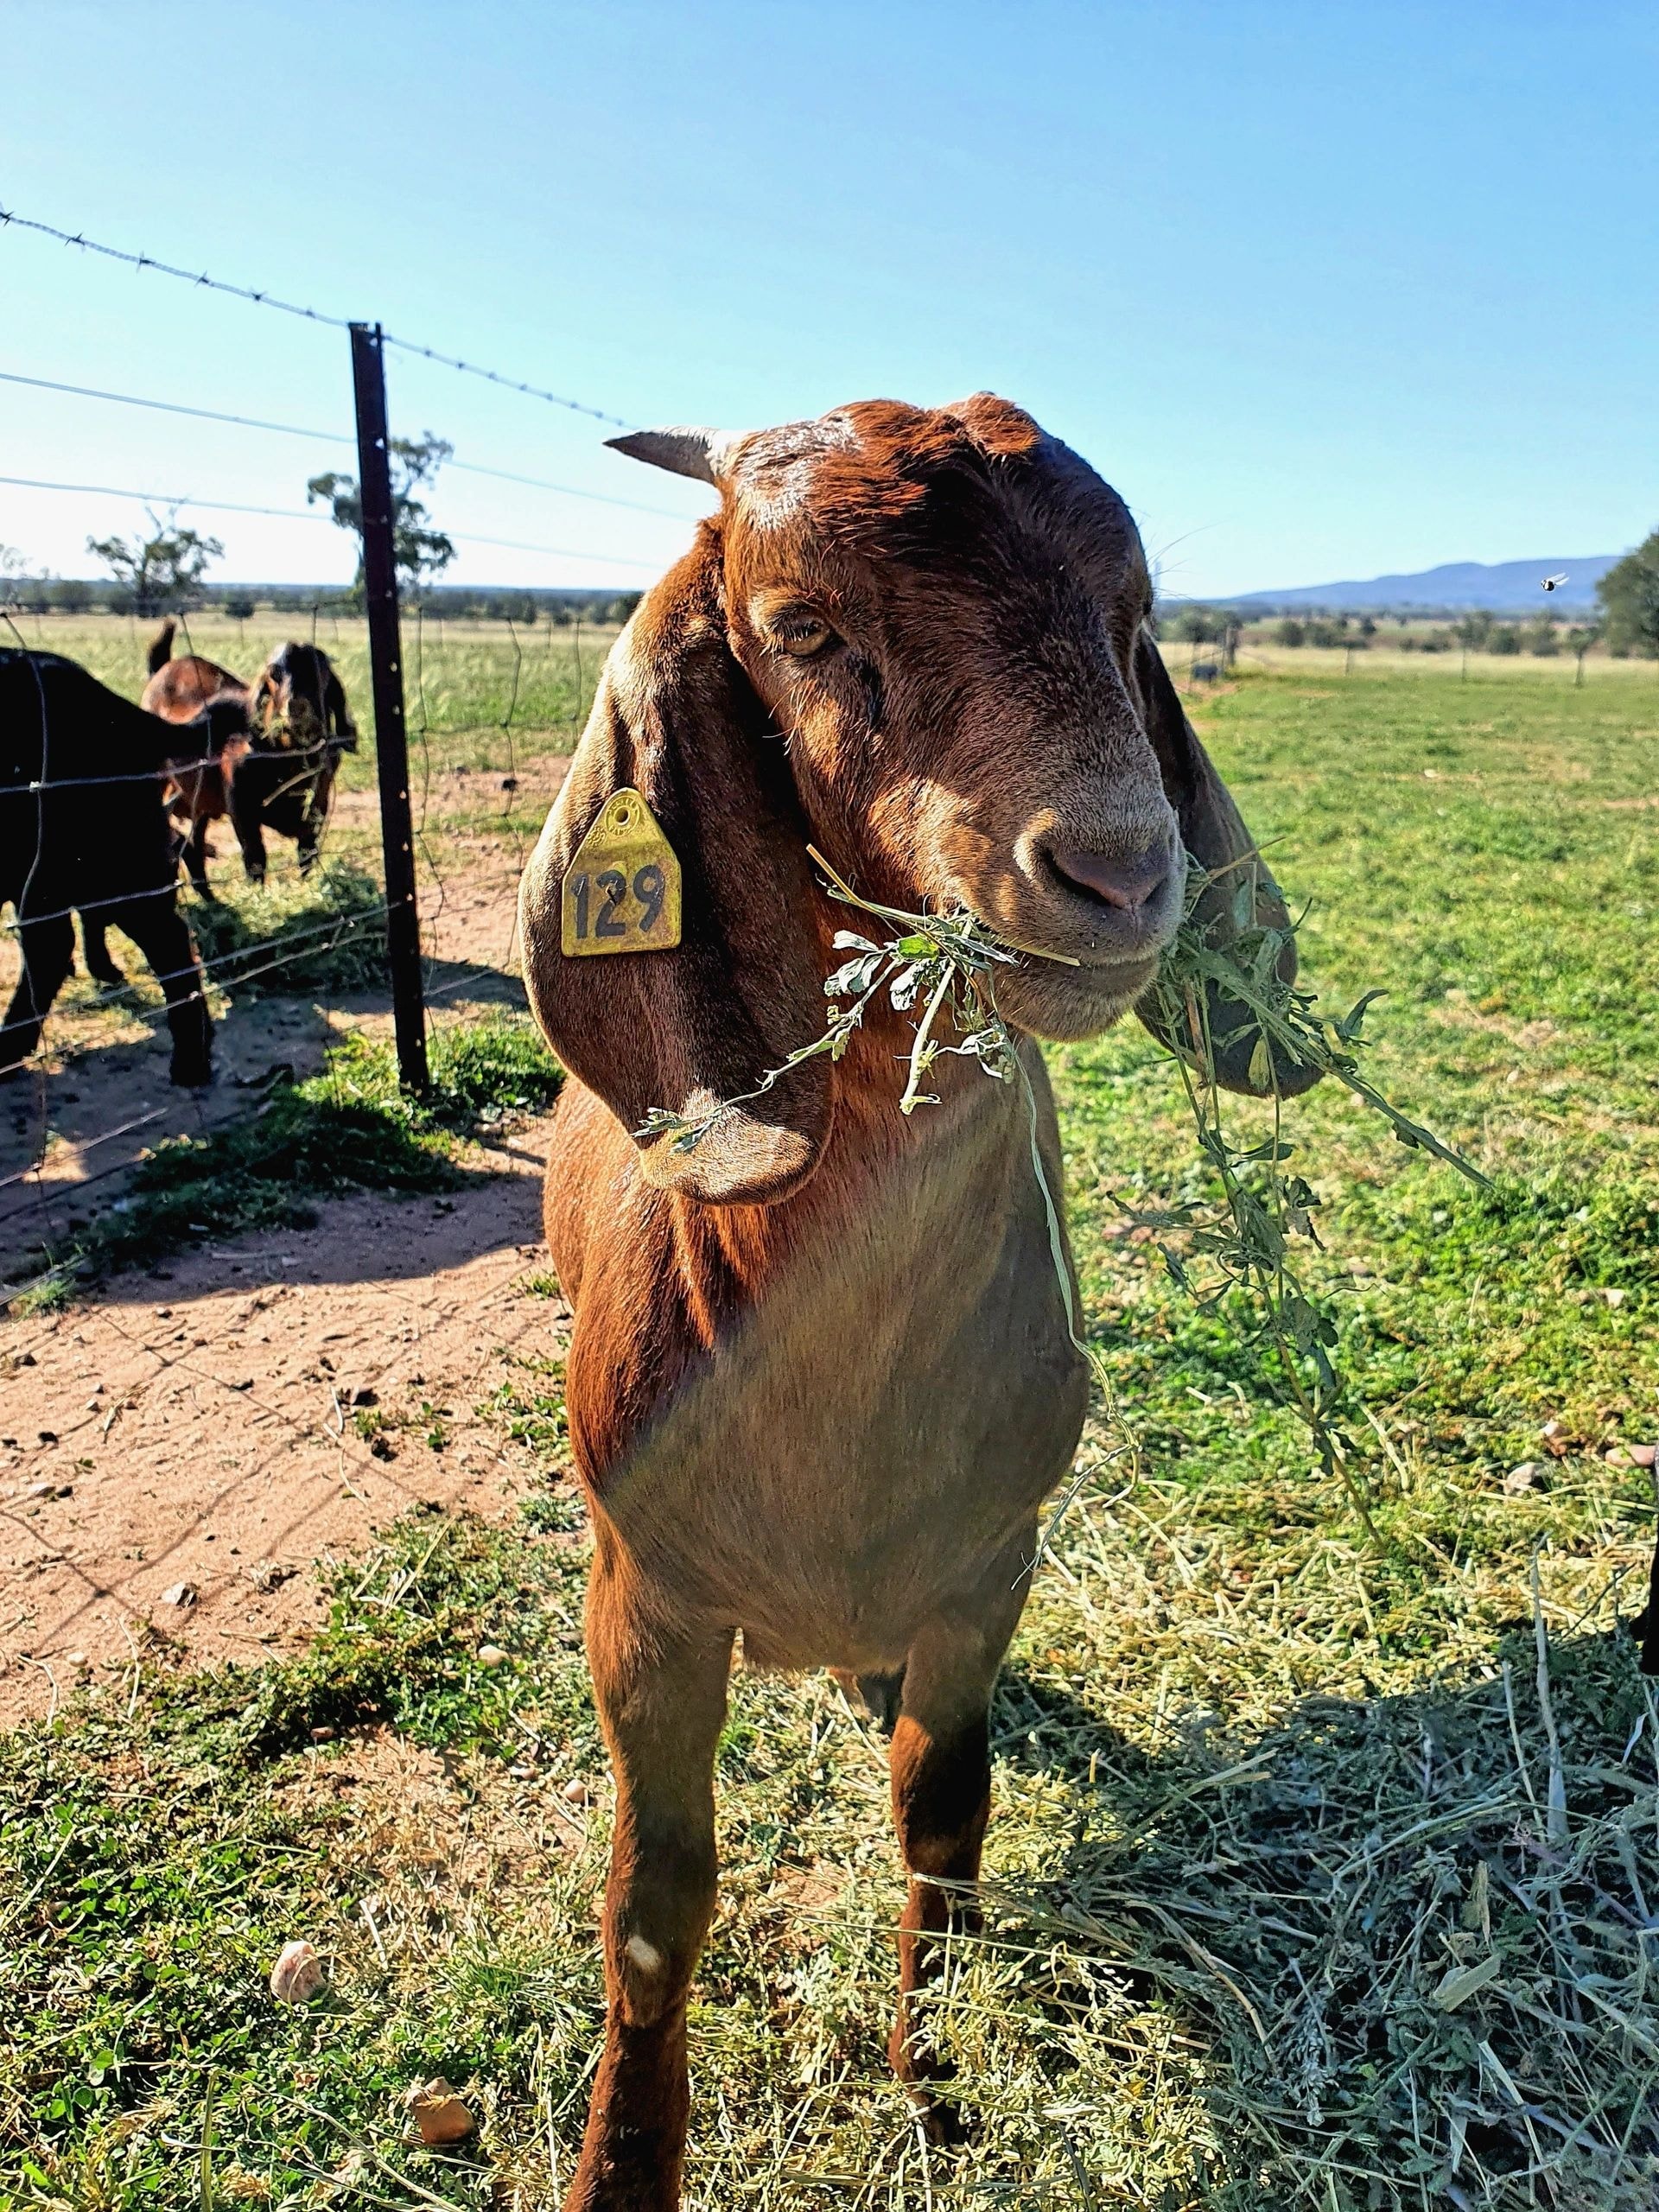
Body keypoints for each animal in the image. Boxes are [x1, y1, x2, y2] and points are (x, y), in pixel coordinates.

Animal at [518, 395, 1317, 2210]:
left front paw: (937, 2086)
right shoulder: (645, 1599)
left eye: (1135, 616)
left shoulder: (984, 1571)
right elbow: (656, 1905)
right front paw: (621, 2162)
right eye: (805, 627)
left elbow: (943, 1821)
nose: (1119, 874)